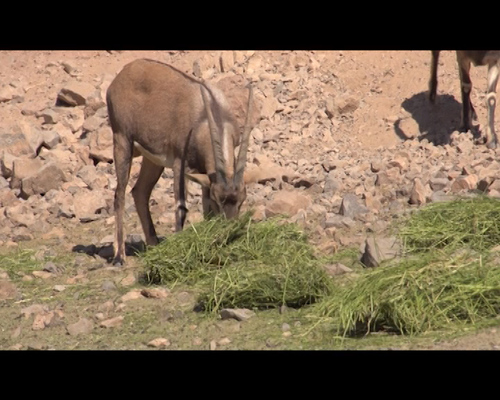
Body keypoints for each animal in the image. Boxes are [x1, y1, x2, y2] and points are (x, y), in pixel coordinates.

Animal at [105, 58, 254, 266]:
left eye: (241, 201)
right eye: (218, 200)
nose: (229, 232)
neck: (206, 116)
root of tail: (122, 75)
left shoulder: (204, 175)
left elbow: (206, 210)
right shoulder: (180, 166)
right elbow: (181, 206)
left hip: (152, 160)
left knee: (140, 191)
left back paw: (154, 244)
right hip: (122, 141)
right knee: (120, 194)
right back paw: (119, 256)